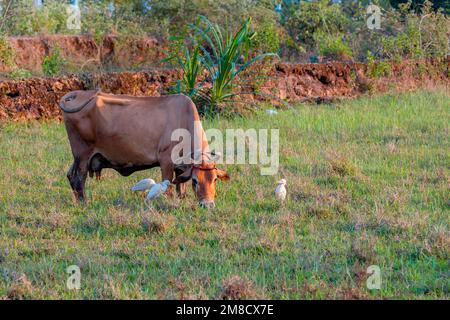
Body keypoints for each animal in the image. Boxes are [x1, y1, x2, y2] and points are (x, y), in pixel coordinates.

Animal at [59, 90, 229, 208]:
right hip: (83, 154)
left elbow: (181, 188)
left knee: (70, 175)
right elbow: (168, 187)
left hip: (79, 157)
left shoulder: (181, 167)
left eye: (214, 179)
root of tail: (79, 94)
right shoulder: (166, 161)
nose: (207, 205)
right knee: (79, 177)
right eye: (195, 181)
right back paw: (84, 203)